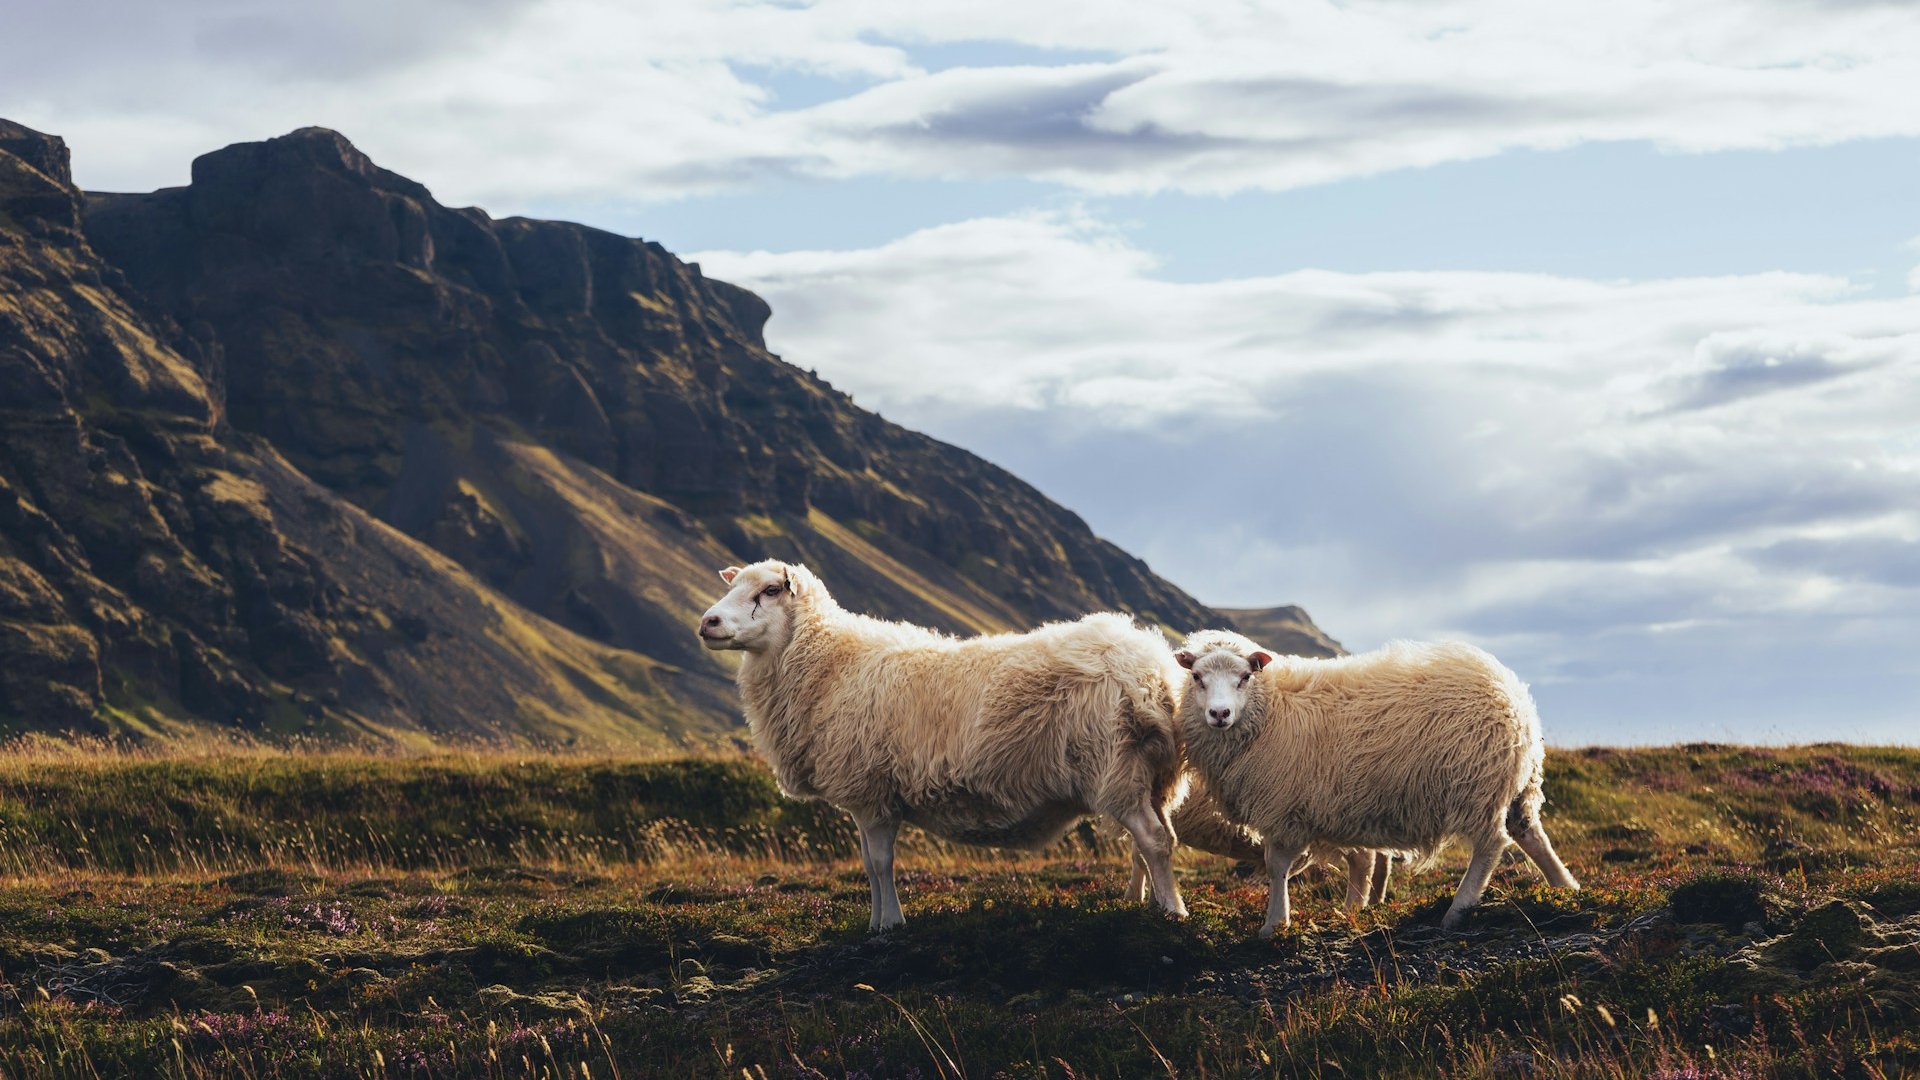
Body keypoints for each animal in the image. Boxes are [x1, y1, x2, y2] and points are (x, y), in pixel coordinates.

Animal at [698, 553, 1190, 926]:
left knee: (1151, 840)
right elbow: (868, 865)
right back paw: (1141, 901)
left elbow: (881, 864)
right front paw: (874, 923)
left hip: (1116, 767)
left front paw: (891, 924)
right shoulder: (864, 798)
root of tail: (1149, 668)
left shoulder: (871, 792)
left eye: (770, 591)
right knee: (1153, 841)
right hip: (1152, 776)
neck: (829, 662)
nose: (708, 621)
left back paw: (1172, 911)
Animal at [1167, 626, 1574, 930]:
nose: (1219, 714)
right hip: (1518, 784)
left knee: (1491, 846)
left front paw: (1274, 924)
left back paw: (1458, 909)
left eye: (1245, 677)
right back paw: (1565, 887)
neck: (1269, 709)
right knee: (1530, 832)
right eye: (1197, 677)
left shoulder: (1282, 809)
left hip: (1477, 785)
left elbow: (1277, 867)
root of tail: (1513, 696)